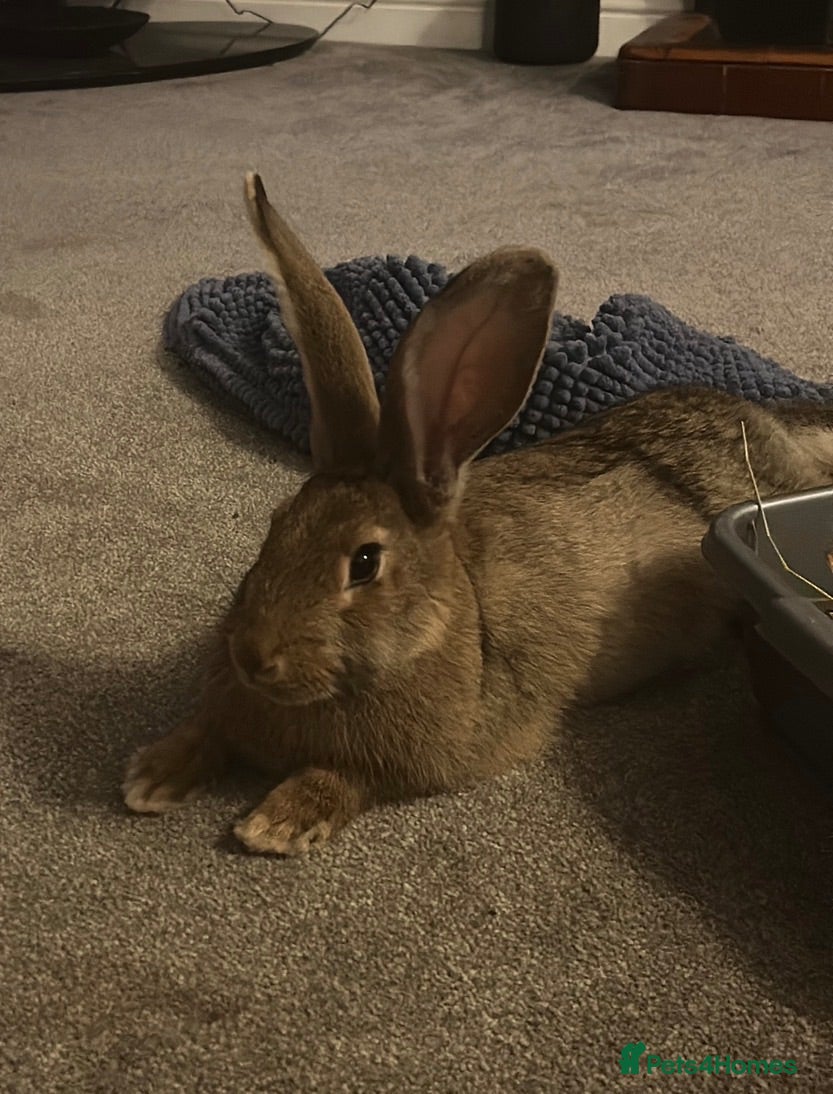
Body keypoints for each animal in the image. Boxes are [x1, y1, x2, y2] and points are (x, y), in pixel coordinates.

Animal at [122, 171, 833, 855]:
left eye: (364, 562)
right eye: (276, 525)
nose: (253, 658)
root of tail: (763, 423)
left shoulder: (429, 756)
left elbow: (348, 778)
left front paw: (277, 822)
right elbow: (210, 730)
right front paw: (151, 774)